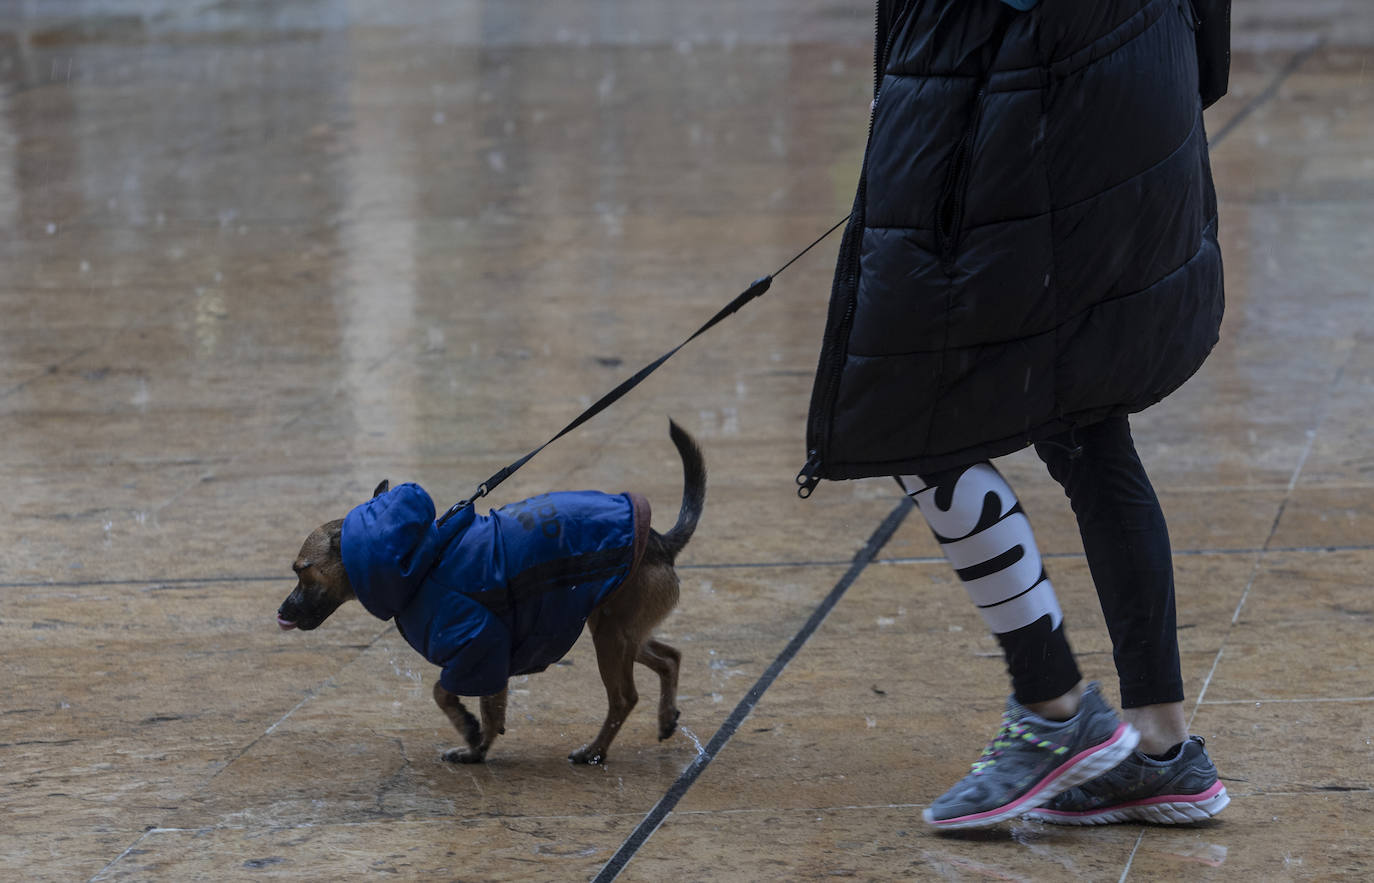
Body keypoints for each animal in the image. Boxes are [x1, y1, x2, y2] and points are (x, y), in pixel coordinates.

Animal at [278, 420, 708, 769]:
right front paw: (477, 749)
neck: (422, 559)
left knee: (624, 698)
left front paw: (468, 731)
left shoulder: (478, 648)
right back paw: (665, 717)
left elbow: (443, 692)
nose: (280, 611)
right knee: (669, 658)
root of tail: (662, 544)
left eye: (301, 571)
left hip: (611, 636)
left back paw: (595, 751)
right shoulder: (491, 658)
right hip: (617, 631)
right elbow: (492, 709)